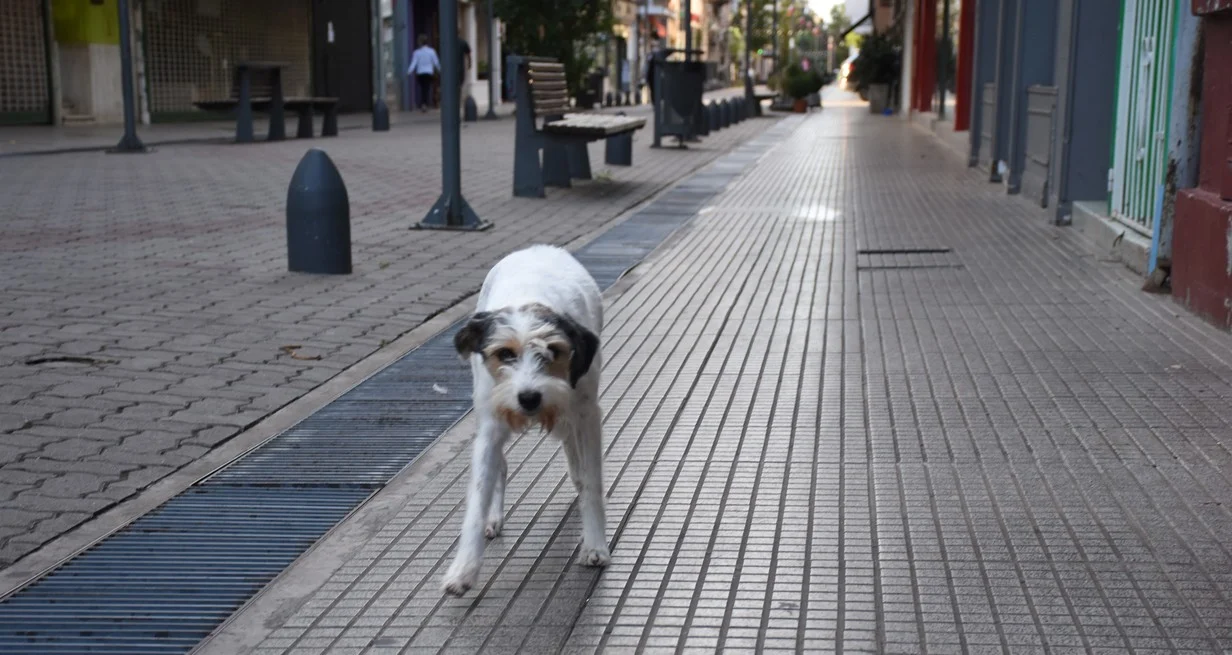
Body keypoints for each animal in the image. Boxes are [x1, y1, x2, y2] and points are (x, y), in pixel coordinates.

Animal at [448, 243, 611, 593]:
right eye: (504, 354)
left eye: (552, 351)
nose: (529, 398)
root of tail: (537, 248)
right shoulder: (491, 423)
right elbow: (477, 496)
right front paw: (463, 569)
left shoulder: (587, 415)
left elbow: (592, 481)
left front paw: (595, 545)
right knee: (502, 465)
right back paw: (494, 518)